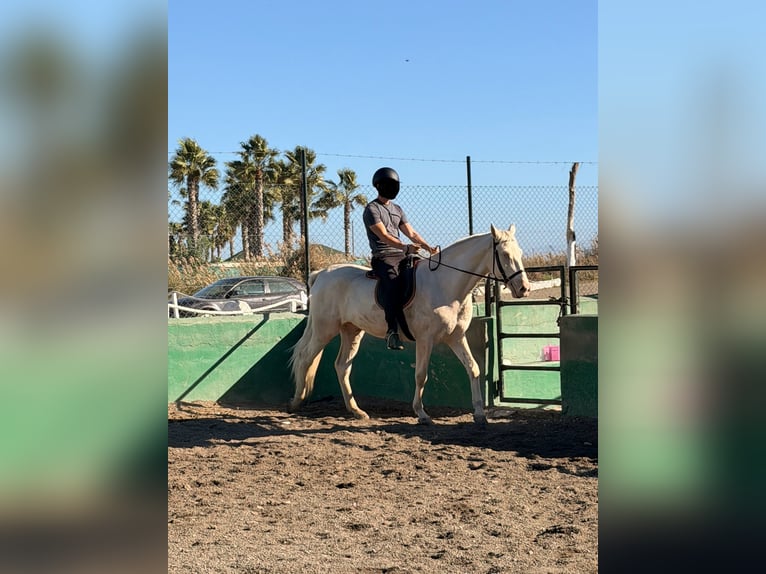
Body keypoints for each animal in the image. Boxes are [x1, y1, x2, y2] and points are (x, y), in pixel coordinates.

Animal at [288, 224, 531, 425]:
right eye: (505, 255)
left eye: (519, 254)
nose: (524, 289)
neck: (444, 284)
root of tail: (321, 274)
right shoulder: (425, 340)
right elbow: (421, 375)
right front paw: (422, 414)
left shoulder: (456, 337)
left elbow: (473, 369)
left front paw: (479, 414)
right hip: (324, 330)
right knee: (305, 357)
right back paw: (296, 401)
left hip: (352, 331)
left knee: (341, 366)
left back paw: (356, 411)